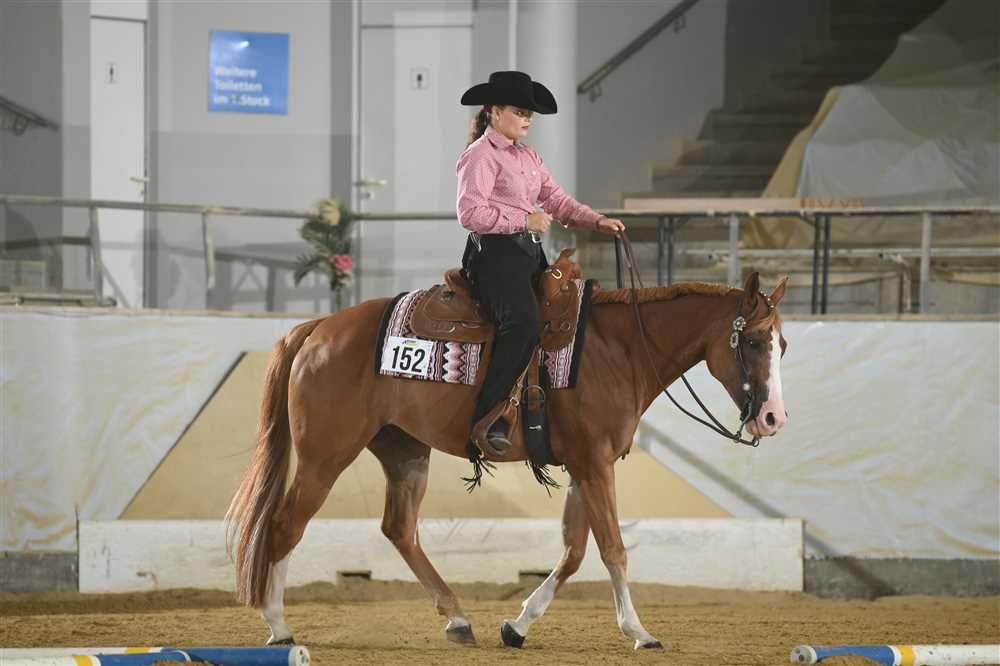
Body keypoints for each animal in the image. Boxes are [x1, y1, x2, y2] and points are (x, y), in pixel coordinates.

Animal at [226, 269, 789, 650]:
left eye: (782, 343)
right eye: (752, 341)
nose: (773, 418)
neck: (620, 349)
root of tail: (319, 327)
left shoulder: (583, 467)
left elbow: (574, 552)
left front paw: (518, 625)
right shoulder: (596, 464)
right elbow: (612, 549)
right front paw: (639, 630)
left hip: (404, 451)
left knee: (400, 530)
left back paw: (457, 619)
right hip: (325, 456)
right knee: (285, 524)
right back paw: (279, 626)